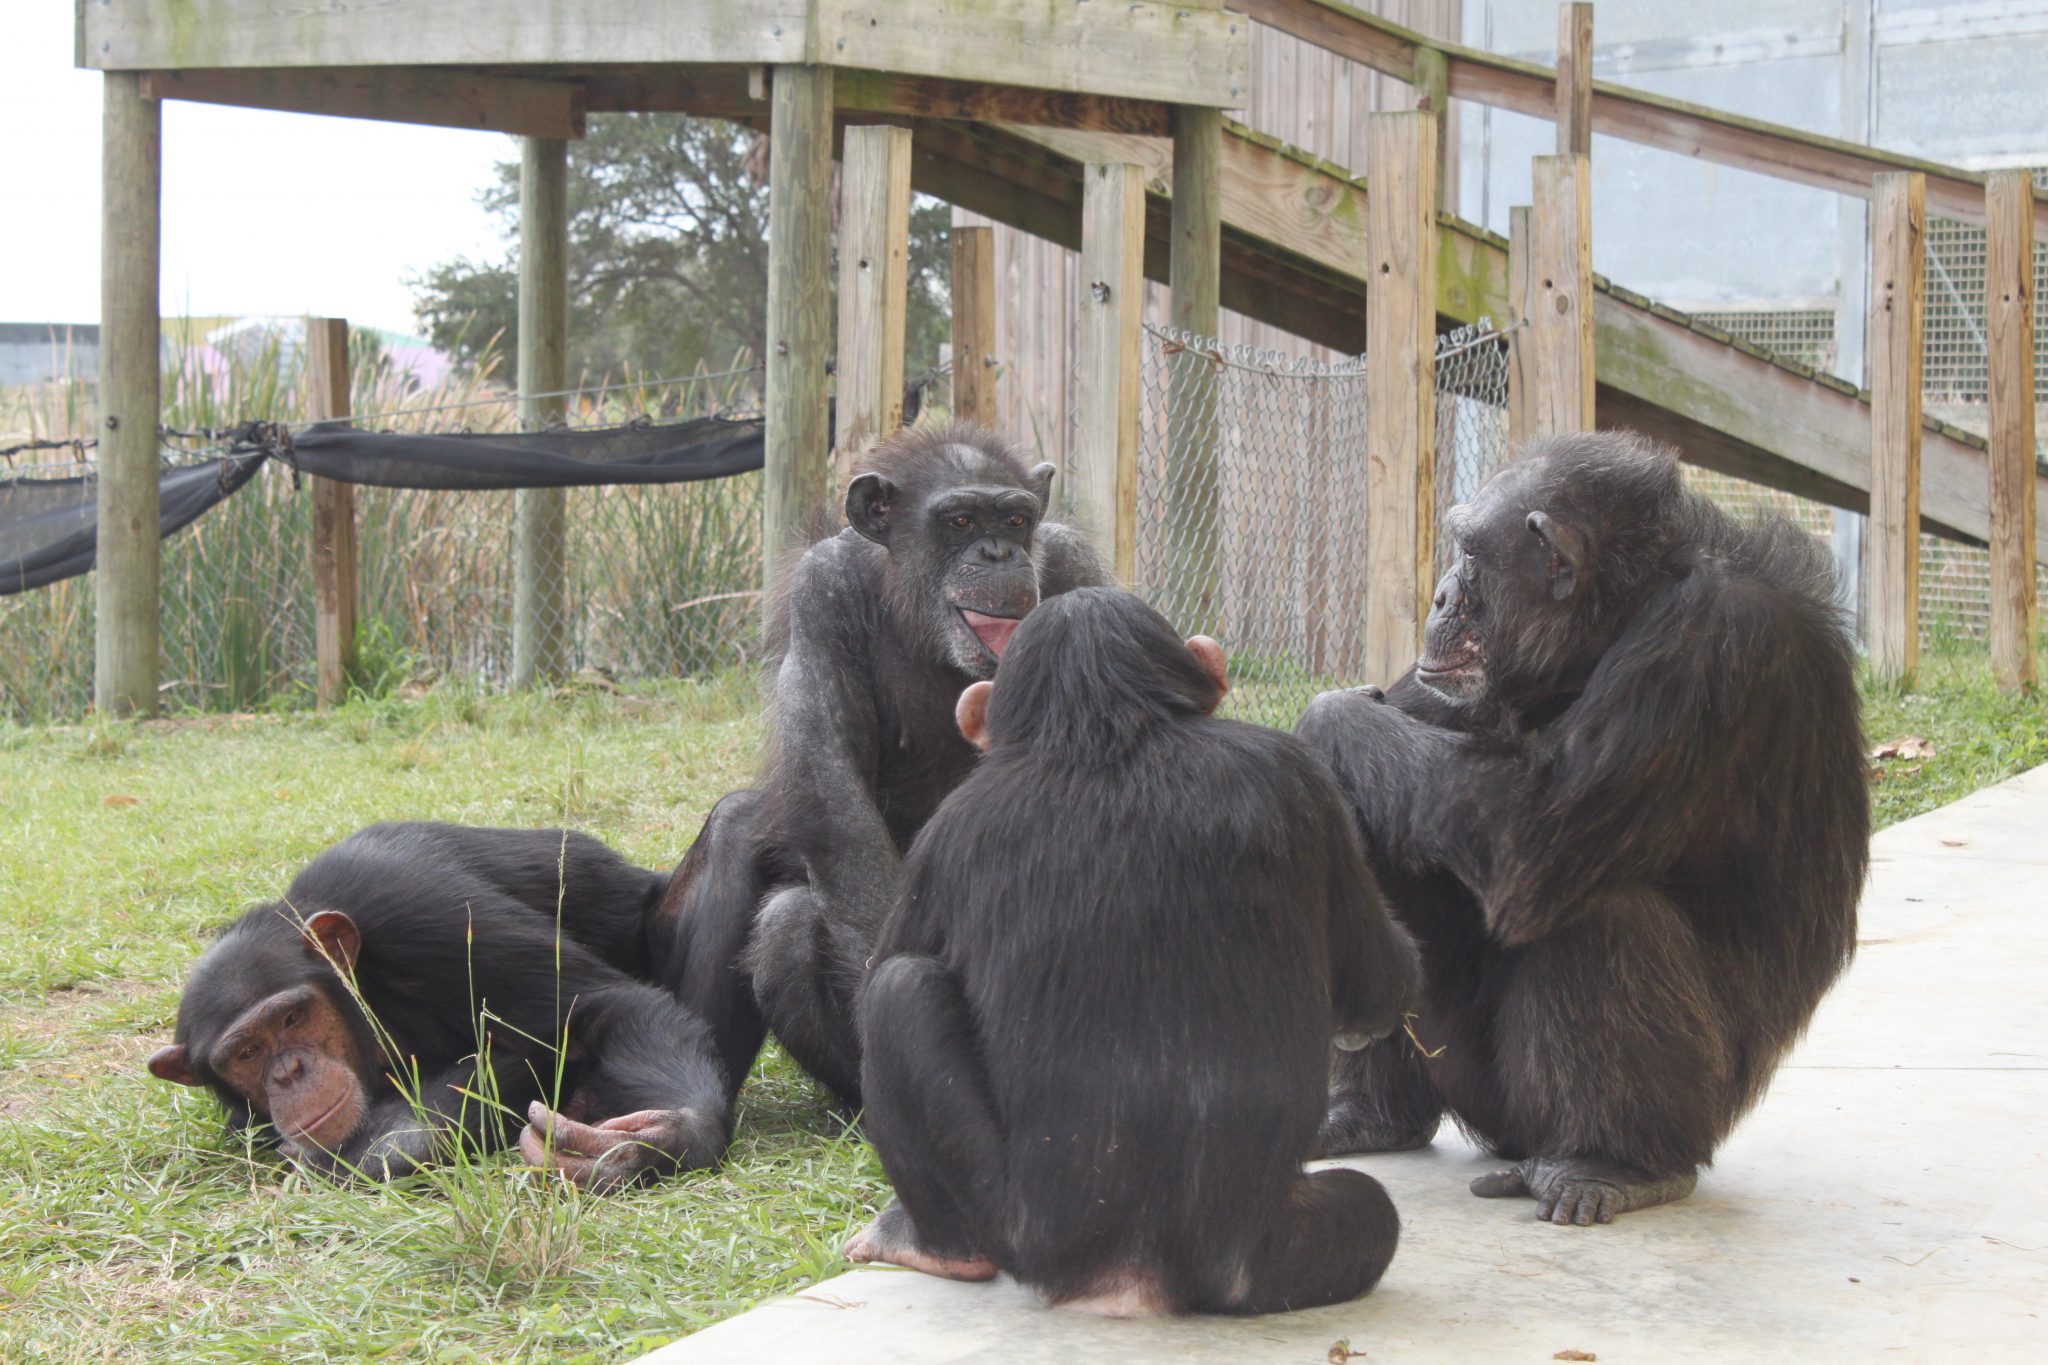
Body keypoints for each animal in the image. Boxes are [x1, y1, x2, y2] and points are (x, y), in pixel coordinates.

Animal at [140, 822, 729, 1186]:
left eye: (292, 1017)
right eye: (246, 1053)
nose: (288, 1071)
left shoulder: (420, 908)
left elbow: (600, 1011)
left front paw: (650, 1144)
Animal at [651, 423, 1105, 1113]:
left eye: (1017, 518)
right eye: (960, 519)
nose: (998, 552)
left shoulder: (1079, 565)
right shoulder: (822, 589)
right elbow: (837, 800)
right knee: (776, 904)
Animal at [839, 593, 1417, 1317]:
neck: (1108, 729)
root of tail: (1130, 1274)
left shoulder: (944, 834)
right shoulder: (1303, 780)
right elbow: (1378, 979)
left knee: (900, 990)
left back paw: (928, 1245)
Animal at [1294, 435, 1875, 1227]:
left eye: (1470, 552)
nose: (1440, 594)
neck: (1613, 625)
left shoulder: (1704, 643)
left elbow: (1533, 830)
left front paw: (1325, 719)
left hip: (1627, 1111)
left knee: (1598, 913)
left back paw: (1610, 1164)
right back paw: (1366, 1113)